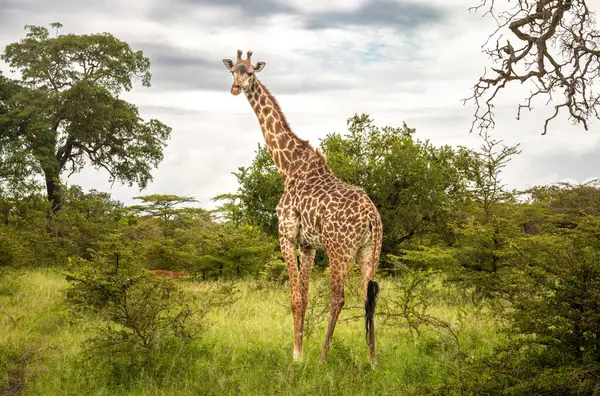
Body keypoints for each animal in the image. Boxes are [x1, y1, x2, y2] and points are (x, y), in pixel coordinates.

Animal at [223, 50, 382, 366]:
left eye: (250, 72)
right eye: (233, 70)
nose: (235, 88)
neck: (288, 166)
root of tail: (372, 216)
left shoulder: (286, 235)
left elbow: (295, 298)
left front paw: (297, 356)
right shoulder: (308, 245)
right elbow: (306, 298)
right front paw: (300, 350)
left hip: (339, 249)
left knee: (339, 297)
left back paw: (323, 357)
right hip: (370, 250)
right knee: (368, 297)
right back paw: (372, 360)